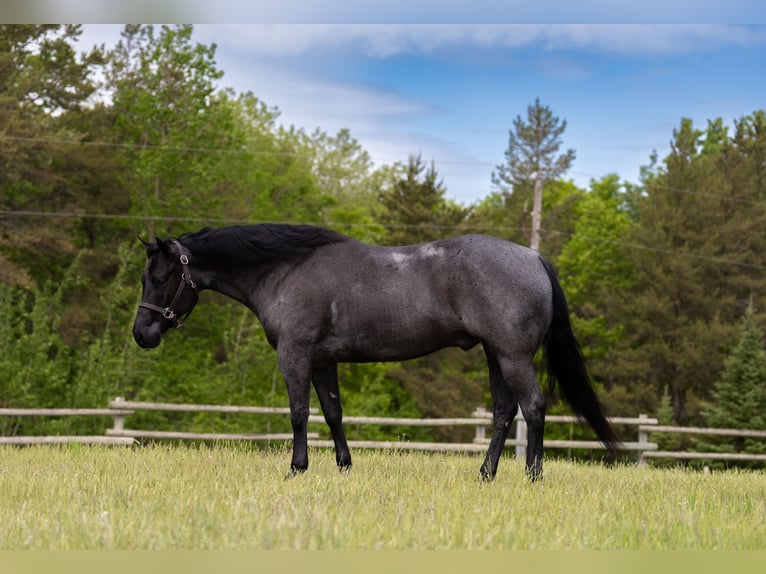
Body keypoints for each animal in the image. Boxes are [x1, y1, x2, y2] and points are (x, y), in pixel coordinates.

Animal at [132, 223, 620, 481]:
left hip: (513, 356)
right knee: (504, 412)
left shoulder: (296, 355)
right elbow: (333, 412)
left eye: (159, 277)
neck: (285, 270)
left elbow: (298, 413)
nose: (142, 334)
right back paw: (485, 474)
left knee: (534, 407)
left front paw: (297, 469)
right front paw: (344, 467)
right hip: (494, 355)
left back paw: (532, 476)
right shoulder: (324, 361)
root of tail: (533, 258)